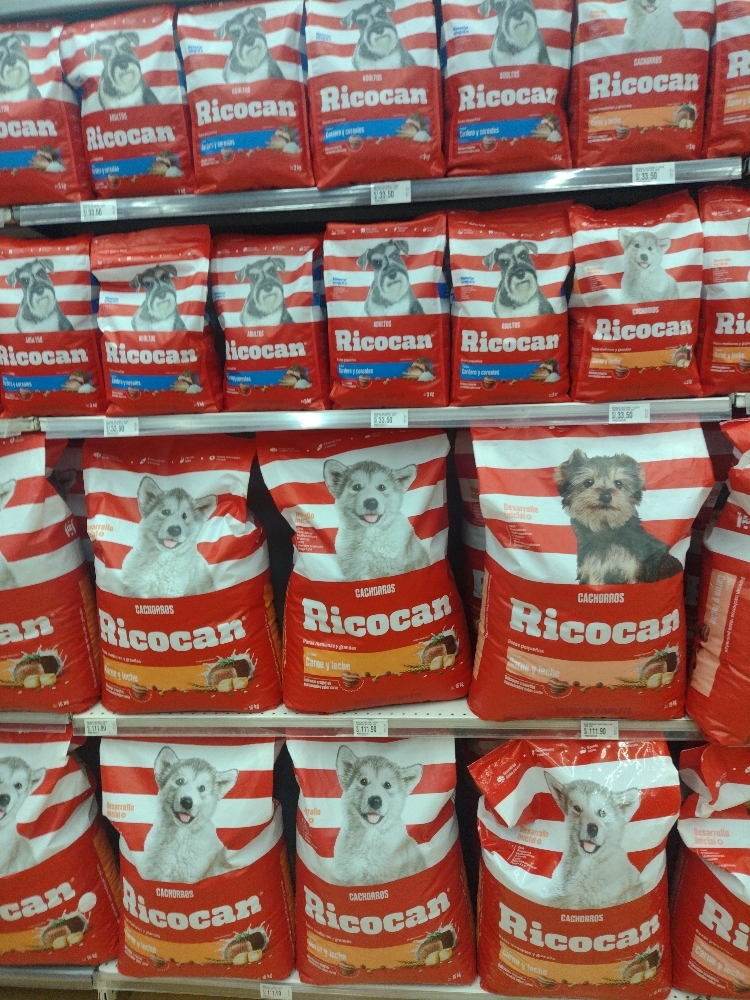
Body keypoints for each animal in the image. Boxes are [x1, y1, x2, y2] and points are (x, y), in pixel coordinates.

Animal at [554, 450, 683, 585]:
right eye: (588, 482)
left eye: (618, 483)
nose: (606, 496)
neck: (607, 529)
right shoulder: (593, 571)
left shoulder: (632, 571)